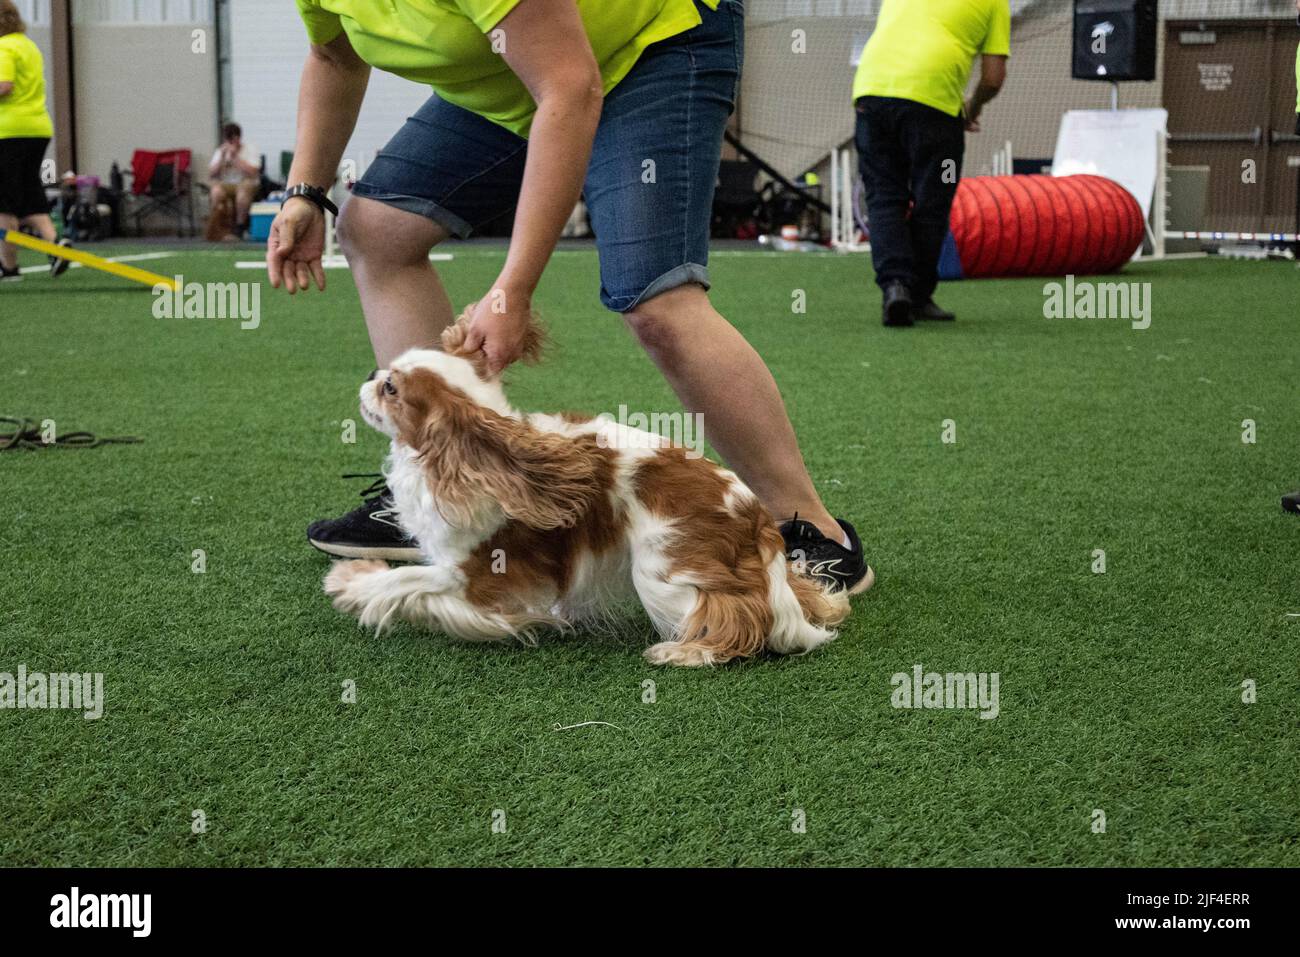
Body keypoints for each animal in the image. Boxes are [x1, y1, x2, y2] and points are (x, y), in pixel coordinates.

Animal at [325, 308, 852, 665]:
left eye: (392, 389)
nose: (371, 375)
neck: (459, 460)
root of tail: (755, 514)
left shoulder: (477, 573)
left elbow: (409, 580)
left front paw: (355, 586)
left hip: (660, 571)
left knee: (743, 614)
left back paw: (686, 651)